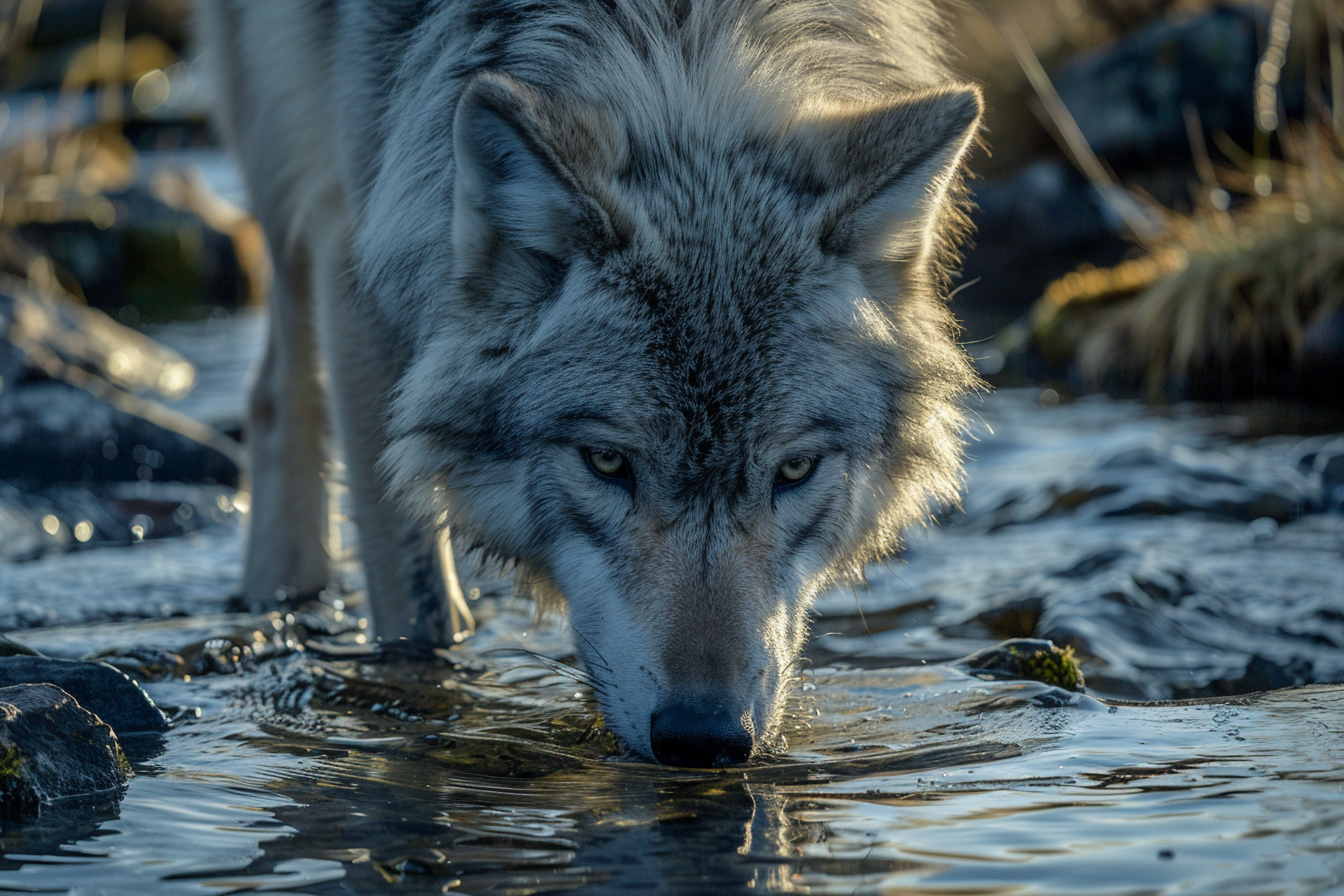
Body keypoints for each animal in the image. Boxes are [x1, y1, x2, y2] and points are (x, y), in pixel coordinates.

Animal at [193, 0, 982, 766]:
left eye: (795, 469)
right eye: (606, 462)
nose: (704, 739)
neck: (682, 43)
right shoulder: (360, 252)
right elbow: (418, 610)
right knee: (275, 390)